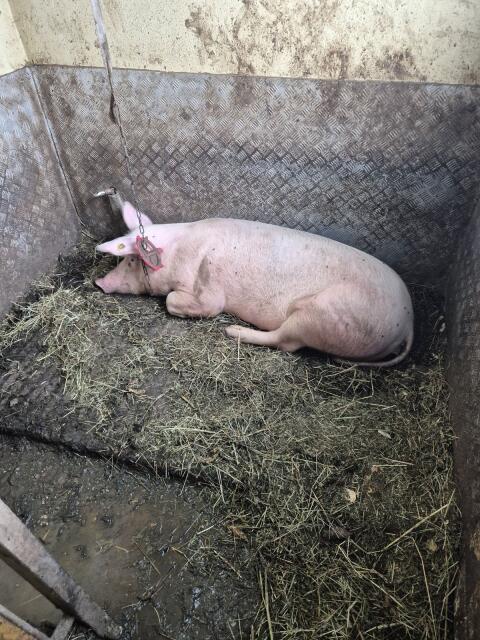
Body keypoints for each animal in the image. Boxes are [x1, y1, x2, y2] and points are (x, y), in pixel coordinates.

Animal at [95, 202, 414, 367]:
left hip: (319, 314)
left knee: (286, 342)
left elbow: (179, 301)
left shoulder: (210, 290)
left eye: (131, 260)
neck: (179, 252)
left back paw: (232, 331)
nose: (99, 282)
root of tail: (409, 322)